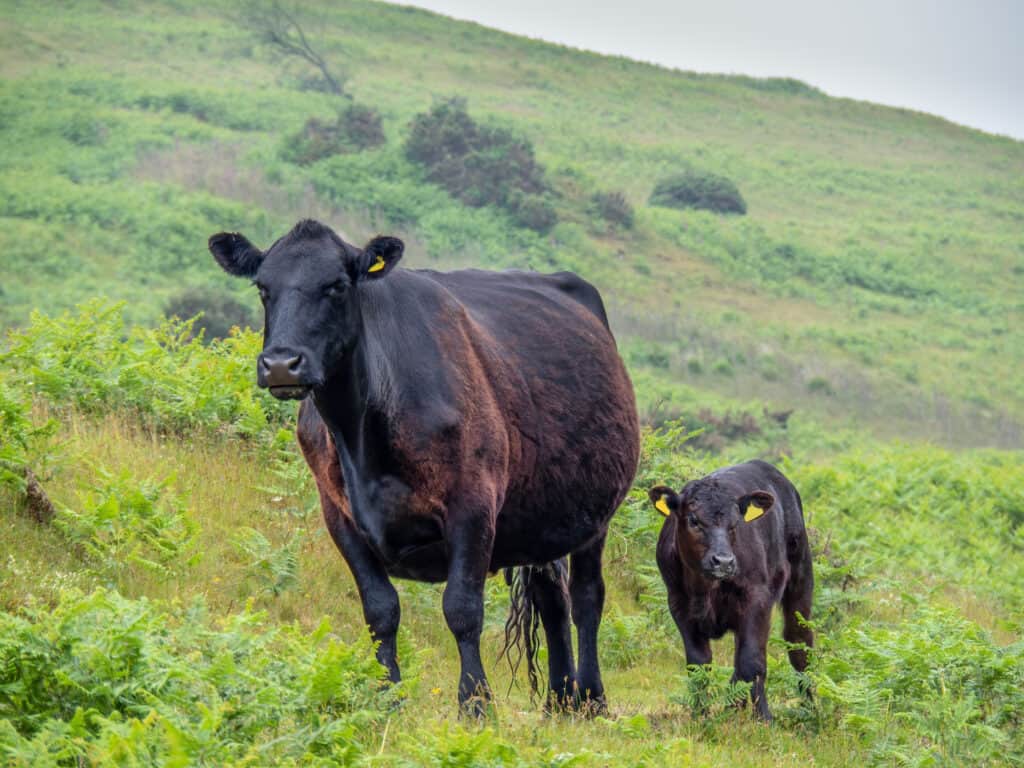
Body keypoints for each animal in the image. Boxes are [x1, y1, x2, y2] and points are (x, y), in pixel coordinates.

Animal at [208, 221, 638, 716]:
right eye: (263, 288)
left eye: (336, 286)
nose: (281, 364)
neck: (364, 441)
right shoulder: (338, 515)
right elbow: (380, 610)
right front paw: (386, 697)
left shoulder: (473, 505)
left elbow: (462, 609)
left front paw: (475, 703)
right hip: (547, 509)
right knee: (552, 598)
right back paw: (560, 699)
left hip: (595, 512)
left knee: (586, 598)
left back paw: (591, 697)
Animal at [647, 462, 815, 720]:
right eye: (694, 520)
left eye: (735, 524)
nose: (724, 562)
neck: (705, 589)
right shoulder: (679, 604)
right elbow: (699, 664)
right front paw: (700, 715)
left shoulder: (757, 599)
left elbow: (752, 661)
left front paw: (763, 718)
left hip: (800, 578)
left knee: (798, 642)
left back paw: (810, 708)